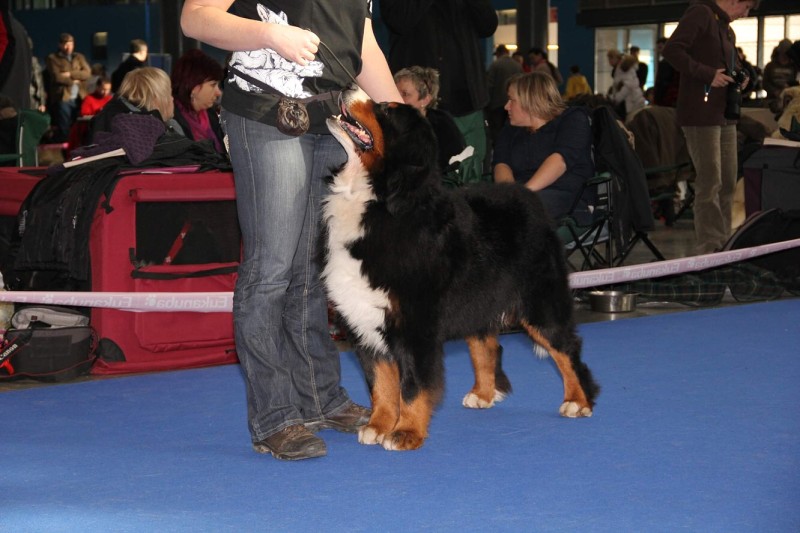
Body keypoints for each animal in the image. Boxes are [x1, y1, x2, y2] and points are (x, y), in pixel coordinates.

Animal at [322, 86, 596, 448]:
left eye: (385, 109)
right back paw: (483, 394)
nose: (346, 87)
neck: (377, 202)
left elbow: (412, 385)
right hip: (479, 297)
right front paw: (378, 425)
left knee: (566, 349)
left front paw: (406, 432)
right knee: (487, 344)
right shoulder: (362, 318)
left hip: (540, 301)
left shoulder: (415, 323)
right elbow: (380, 383)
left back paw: (577, 401)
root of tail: (528, 196)